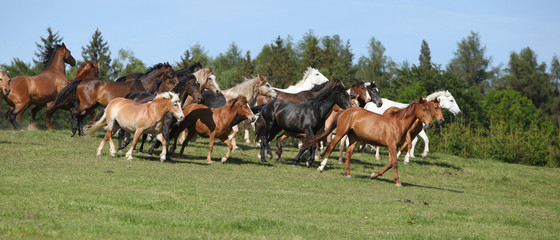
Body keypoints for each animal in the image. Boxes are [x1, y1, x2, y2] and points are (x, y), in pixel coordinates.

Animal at [304, 97, 436, 186]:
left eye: (430, 110)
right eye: (423, 109)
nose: (430, 124)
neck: (397, 123)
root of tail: (345, 111)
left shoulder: (393, 147)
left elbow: (390, 163)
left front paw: (373, 175)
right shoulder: (392, 146)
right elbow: (394, 163)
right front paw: (398, 181)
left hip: (353, 138)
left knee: (348, 153)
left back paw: (348, 174)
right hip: (341, 133)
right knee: (331, 147)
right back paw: (321, 167)